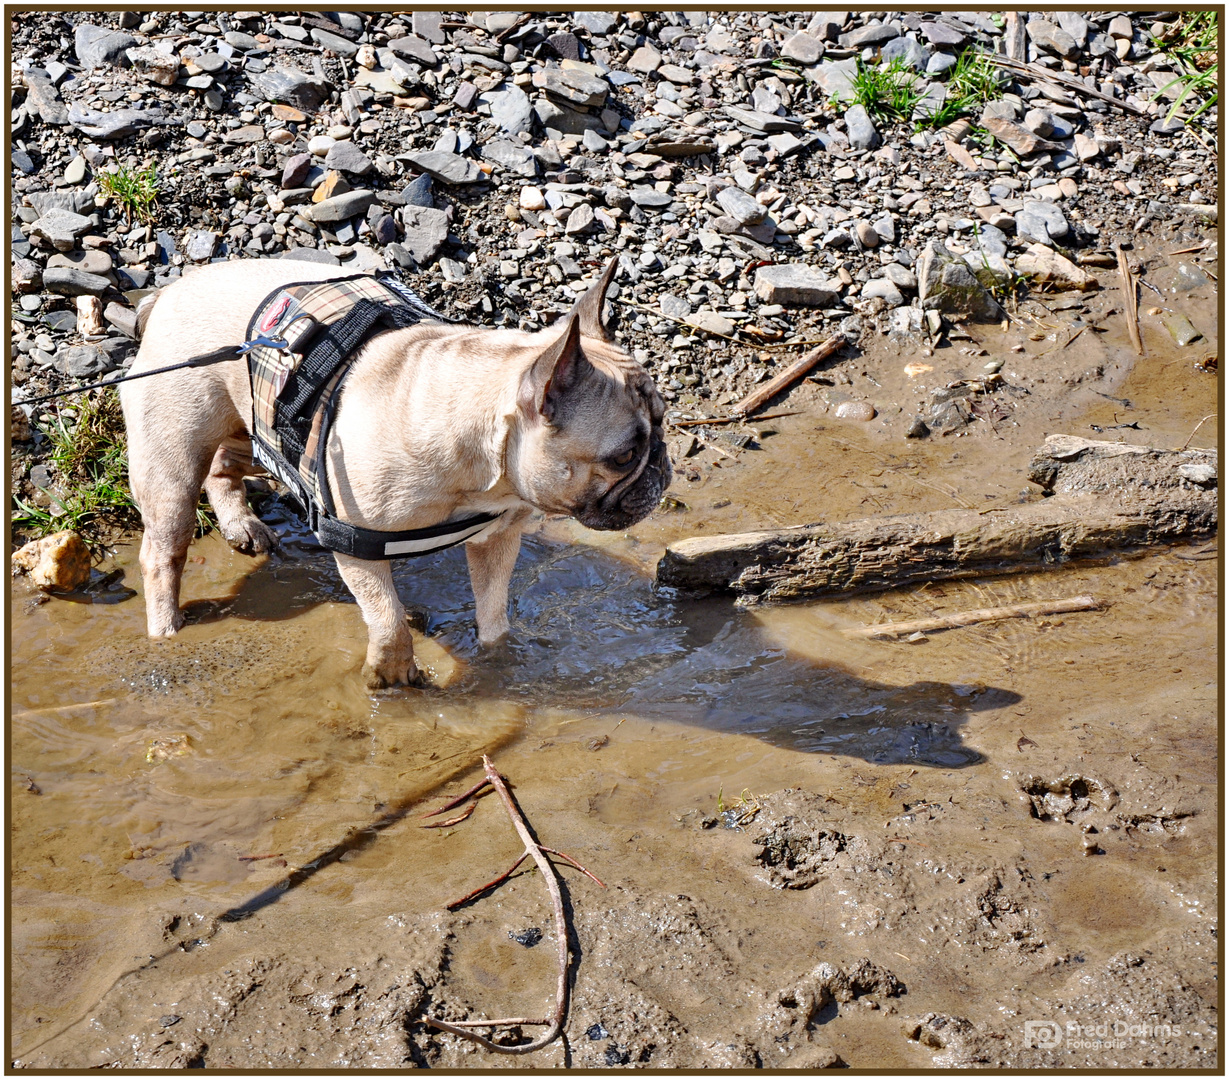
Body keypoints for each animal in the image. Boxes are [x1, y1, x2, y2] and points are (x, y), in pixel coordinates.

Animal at [119, 255, 668, 683]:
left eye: (663, 420)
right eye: (623, 456)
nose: (662, 467)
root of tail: (166, 296)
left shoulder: (496, 540)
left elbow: (493, 610)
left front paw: (499, 661)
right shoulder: (356, 549)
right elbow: (388, 619)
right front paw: (391, 672)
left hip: (251, 421)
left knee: (222, 469)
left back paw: (241, 525)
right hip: (171, 461)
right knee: (163, 552)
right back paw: (165, 631)